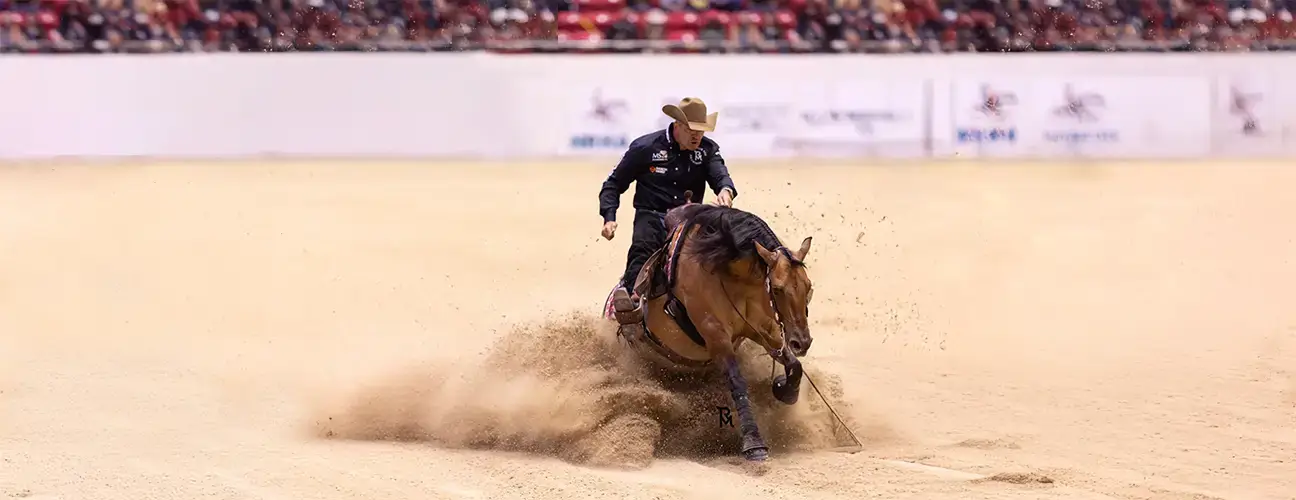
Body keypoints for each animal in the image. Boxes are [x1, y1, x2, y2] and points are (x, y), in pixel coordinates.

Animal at [602, 192, 815, 462]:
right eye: (776, 288)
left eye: (808, 286)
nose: (802, 341)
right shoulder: (715, 334)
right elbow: (737, 381)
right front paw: (754, 444)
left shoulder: (764, 329)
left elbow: (794, 365)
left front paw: (785, 390)